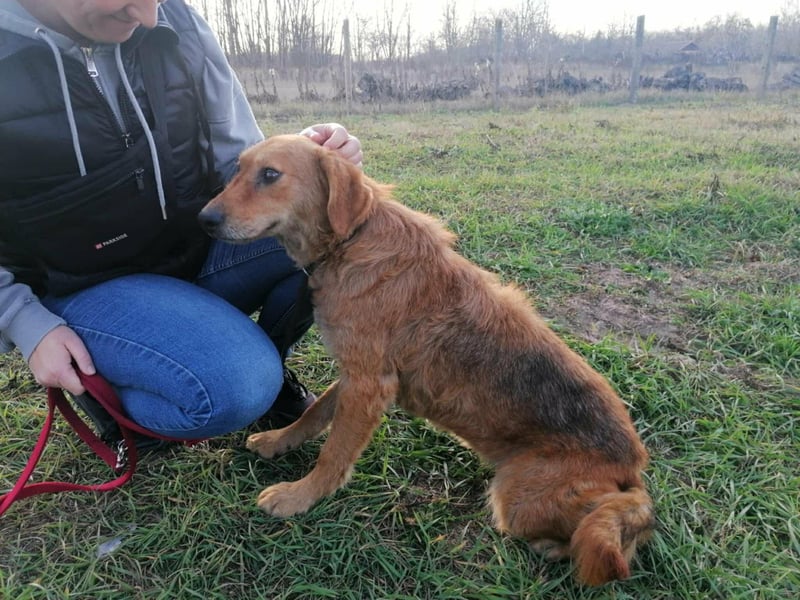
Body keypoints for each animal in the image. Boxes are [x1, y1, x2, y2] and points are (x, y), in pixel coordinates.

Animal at [198, 135, 655, 586]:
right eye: (237, 169)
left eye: (270, 175)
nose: (204, 219)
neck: (353, 240)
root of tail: (632, 473)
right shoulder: (357, 374)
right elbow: (314, 416)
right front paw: (279, 442)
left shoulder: (368, 385)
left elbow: (334, 453)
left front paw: (300, 496)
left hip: (517, 497)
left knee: (606, 540)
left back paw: (555, 545)